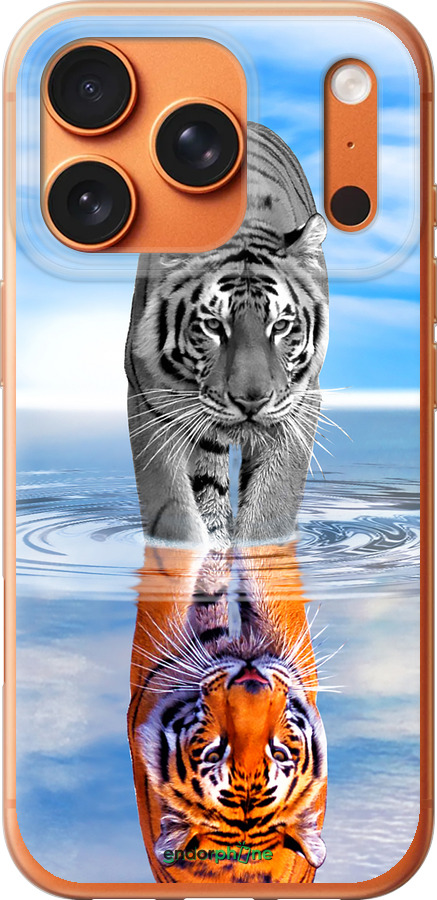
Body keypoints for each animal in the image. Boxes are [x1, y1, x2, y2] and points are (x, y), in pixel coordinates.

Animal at [125, 122, 329, 548]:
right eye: (214, 326)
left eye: (280, 326)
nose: (251, 401)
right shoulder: (149, 401)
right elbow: (173, 509)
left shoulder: (300, 403)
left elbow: (271, 507)